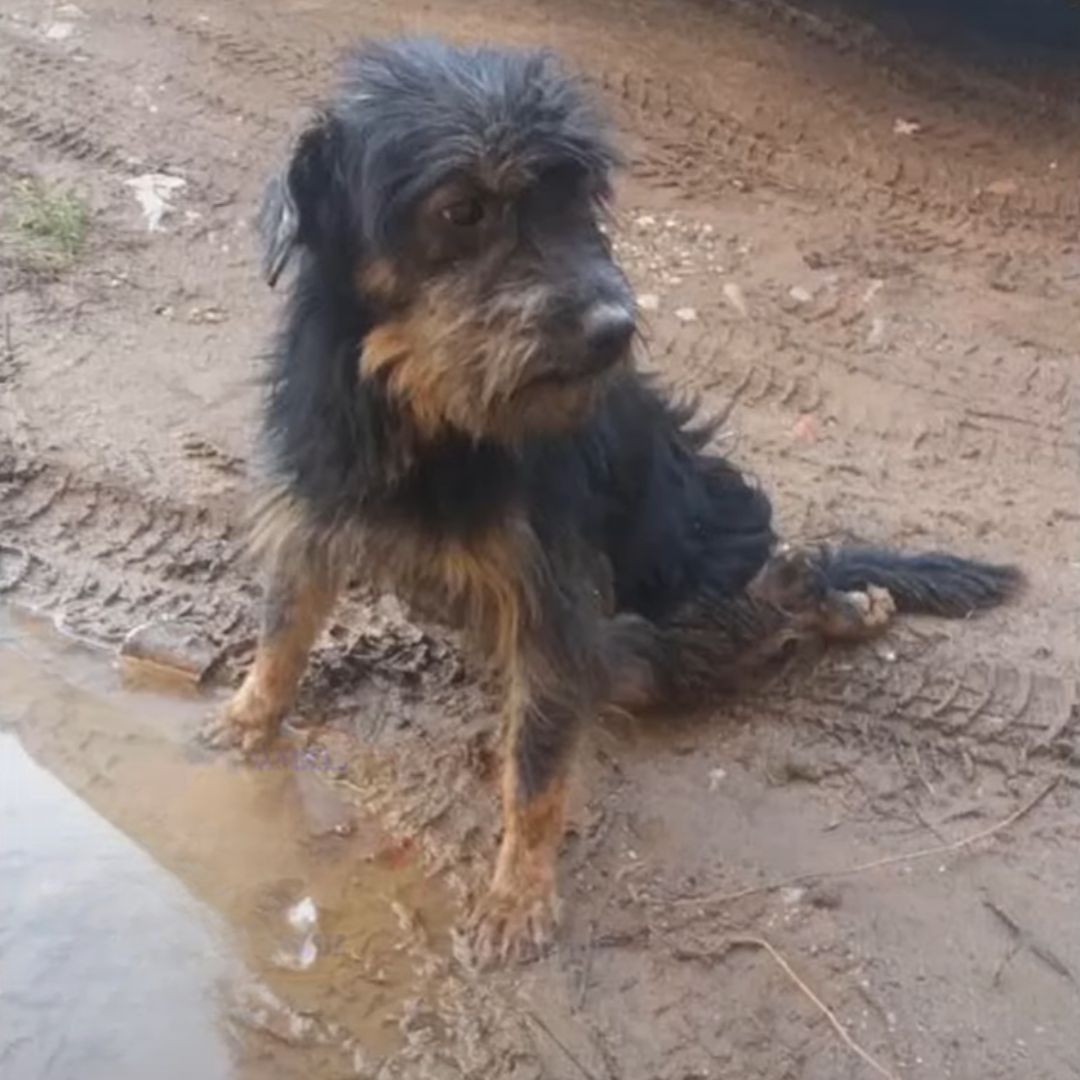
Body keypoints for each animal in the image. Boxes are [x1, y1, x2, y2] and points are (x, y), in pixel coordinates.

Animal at [206, 42, 1023, 967]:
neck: (423, 408)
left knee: (779, 595)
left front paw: (517, 895)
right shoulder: (310, 518)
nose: (614, 329)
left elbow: (536, 772)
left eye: (579, 201)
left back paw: (839, 598)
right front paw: (246, 717)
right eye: (463, 208)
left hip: (667, 623)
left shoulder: (556, 604)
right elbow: (283, 634)